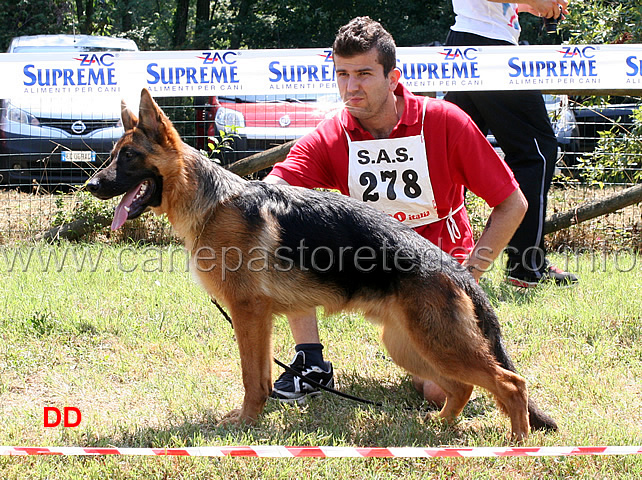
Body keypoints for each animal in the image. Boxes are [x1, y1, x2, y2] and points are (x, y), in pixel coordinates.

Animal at [89, 88, 556, 440]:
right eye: (114, 154)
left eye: (128, 156)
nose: (91, 184)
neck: (212, 202)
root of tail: (456, 269)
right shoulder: (259, 319)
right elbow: (259, 376)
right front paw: (254, 419)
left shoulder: (248, 314)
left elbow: (250, 377)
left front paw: (246, 422)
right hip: (409, 345)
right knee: (461, 388)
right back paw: (439, 426)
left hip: (437, 343)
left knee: (510, 383)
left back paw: (517, 442)